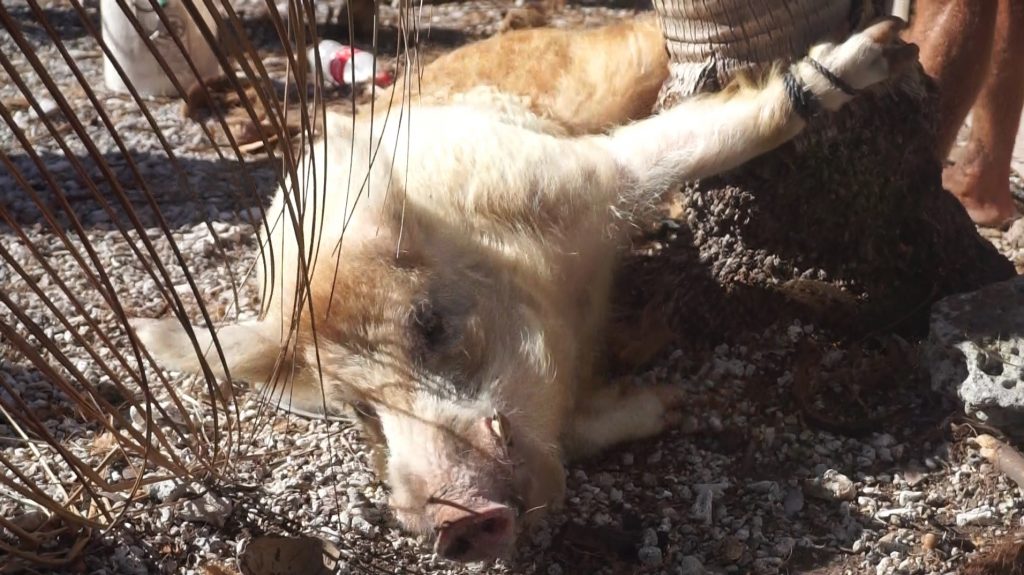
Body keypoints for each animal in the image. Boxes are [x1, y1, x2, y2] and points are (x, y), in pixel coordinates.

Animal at [131, 17, 916, 563]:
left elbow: (698, 140)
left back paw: (887, 42)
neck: (569, 288)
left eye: (430, 324)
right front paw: (670, 403)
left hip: (606, 68)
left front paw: (872, 56)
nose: (449, 522)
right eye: (356, 406)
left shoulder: (580, 172)